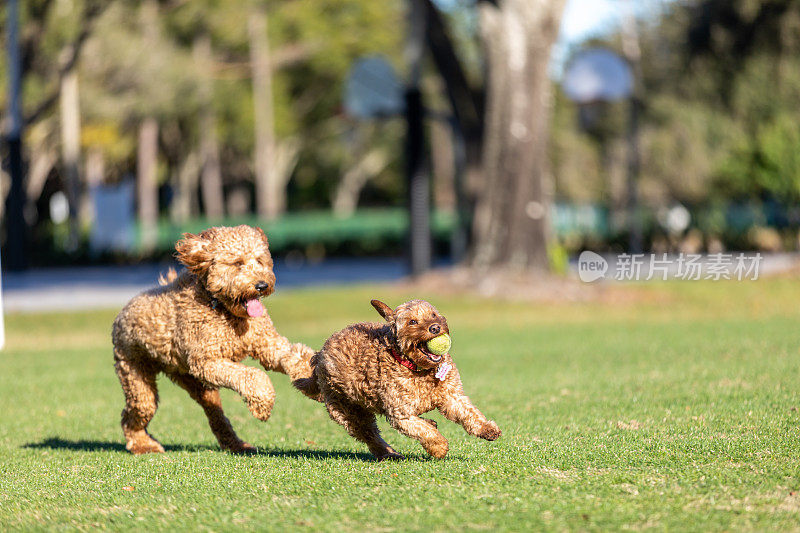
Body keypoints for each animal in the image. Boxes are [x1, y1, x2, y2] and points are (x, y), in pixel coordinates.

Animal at [111, 224, 316, 454]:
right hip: (135, 372)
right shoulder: (206, 362)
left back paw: (236, 444)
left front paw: (312, 377)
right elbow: (252, 375)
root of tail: (123, 311)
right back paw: (143, 444)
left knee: (215, 414)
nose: (262, 285)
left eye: (260, 260)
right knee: (133, 413)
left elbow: (292, 354)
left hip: (197, 383)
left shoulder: (266, 343)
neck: (223, 308)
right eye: (237, 263)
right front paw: (262, 404)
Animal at [296, 298, 504, 460]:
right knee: (370, 435)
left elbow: (469, 413)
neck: (419, 368)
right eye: (412, 321)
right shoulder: (400, 413)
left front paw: (487, 429)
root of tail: (319, 356)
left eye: (433, 314)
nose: (435, 327)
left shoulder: (451, 396)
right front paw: (439, 447)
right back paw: (389, 453)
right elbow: (425, 432)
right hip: (348, 410)